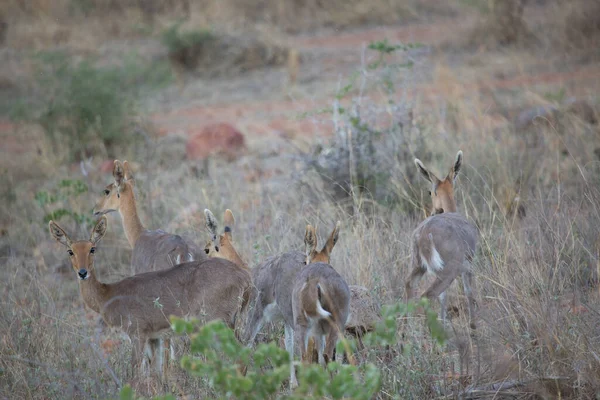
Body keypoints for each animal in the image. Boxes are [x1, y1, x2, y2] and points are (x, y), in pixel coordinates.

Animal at [47, 217, 251, 380]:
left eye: (92, 249)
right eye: (70, 251)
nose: (82, 273)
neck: (109, 294)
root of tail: (244, 277)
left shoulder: (138, 334)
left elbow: (136, 372)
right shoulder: (155, 338)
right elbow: (155, 372)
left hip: (217, 323)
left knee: (241, 355)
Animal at [292, 223, 352, 386]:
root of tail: (315, 281)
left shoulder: (318, 332)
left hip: (302, 323)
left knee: (305, 358)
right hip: (336, 323)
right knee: (328, 355)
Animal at [406, 152, 480, 330]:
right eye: (430, 192)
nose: (434, 211)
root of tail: (424, 233)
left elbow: (444, 297)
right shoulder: (467, 265)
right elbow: (468, 291)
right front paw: (473, 325)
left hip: (419, 266)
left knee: (410, 285)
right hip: (449, 270)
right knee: (428, 294)